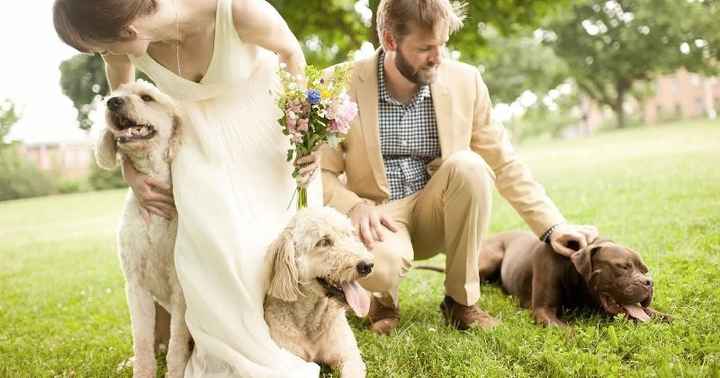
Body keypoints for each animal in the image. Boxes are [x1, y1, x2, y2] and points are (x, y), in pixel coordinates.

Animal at [96, 80, 191, 378]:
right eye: (116, 93)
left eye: (147, 98)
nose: (112, 102)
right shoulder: (135, 285)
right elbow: (141, 339)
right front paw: (142, 369)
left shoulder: (180, 287)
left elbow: (177, 344)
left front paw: (177, 371)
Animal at [266, 207, 376, 378]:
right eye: (323, 242)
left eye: (349, 235)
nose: (368, 265)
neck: (311, 322)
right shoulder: (290, 362)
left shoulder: (350, 358)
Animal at [476, 229, 672, 326]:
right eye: (623, 266)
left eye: (644, 270)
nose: (649, 283)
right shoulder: (543, 310)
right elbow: (569, 331)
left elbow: (652, 312)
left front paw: (670, 318)